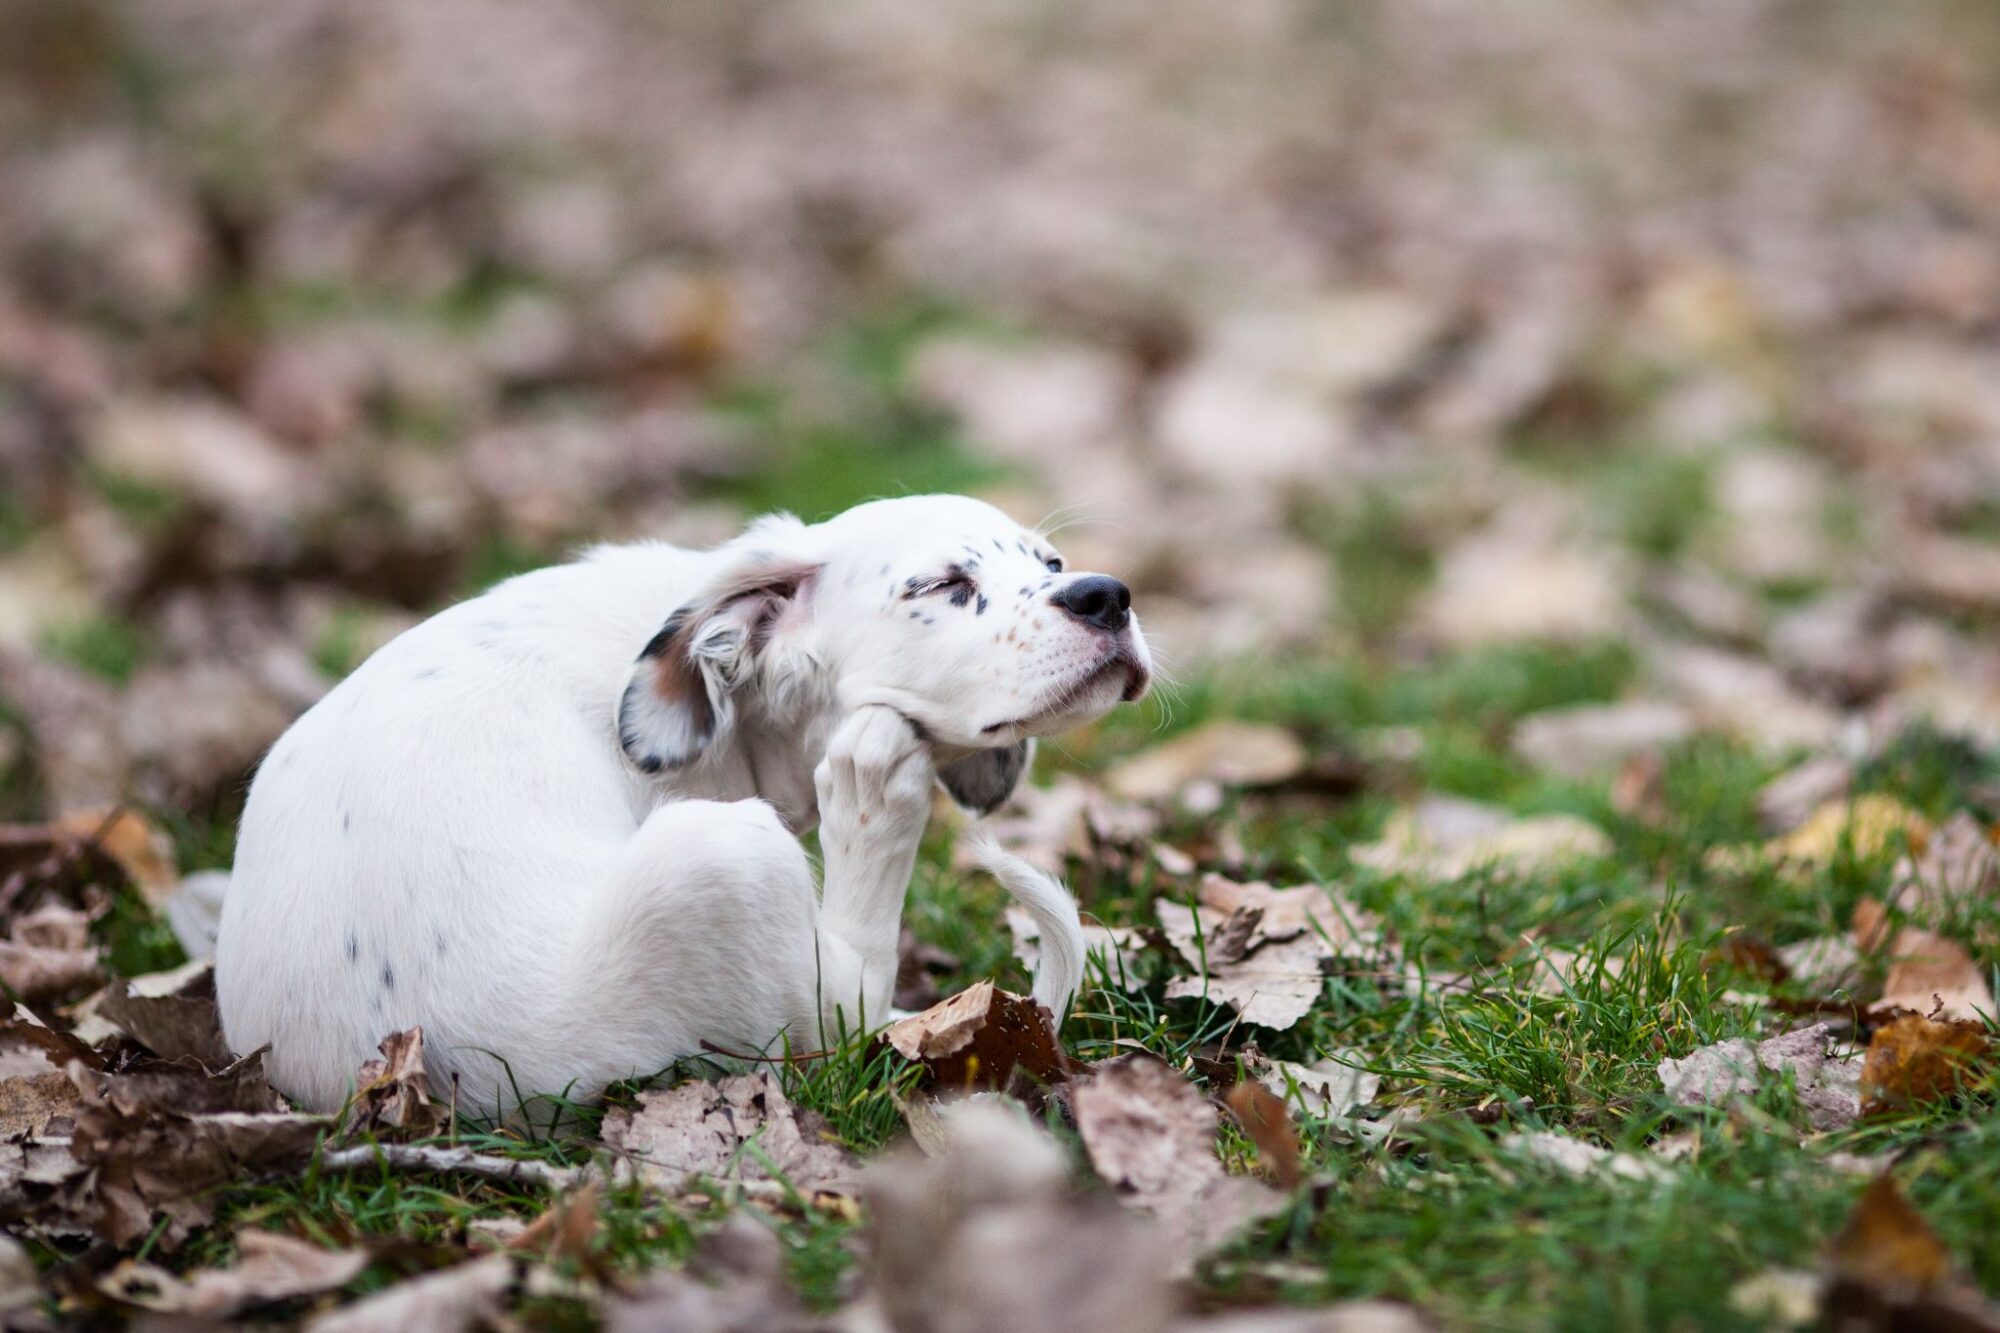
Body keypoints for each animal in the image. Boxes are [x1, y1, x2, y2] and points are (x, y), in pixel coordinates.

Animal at [215, 492, 1160, 1104]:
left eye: (1052, 563)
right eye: (938, 586)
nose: (1106, 595)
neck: (737, 708)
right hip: (723, 857)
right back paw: (875, 785)